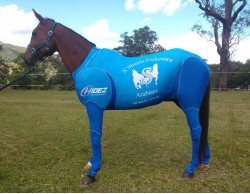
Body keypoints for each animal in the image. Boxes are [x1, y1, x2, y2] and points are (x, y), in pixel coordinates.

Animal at [23, 9, 211, 186]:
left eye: (35, 33)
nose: (26, 58)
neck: (88, 63)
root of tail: (200, 61)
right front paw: (91, 164)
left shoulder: (94, 106)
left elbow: (95, 136)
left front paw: (91, 174)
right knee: (203, 130)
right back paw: (204, 163)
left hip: (189, 105)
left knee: (196, 131)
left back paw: (190, 170)